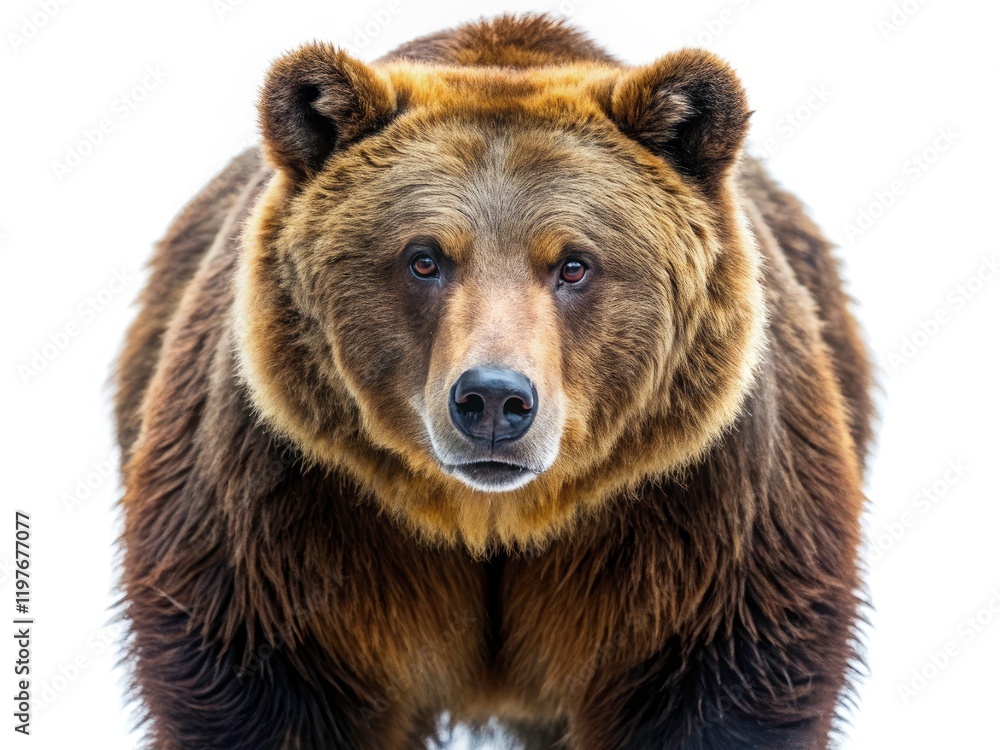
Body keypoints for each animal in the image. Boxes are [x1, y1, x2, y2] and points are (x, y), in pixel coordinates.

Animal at [115, 13, 873, 750]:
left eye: (574, 263)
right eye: (424, 258)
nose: (494, 400)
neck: (490, 520)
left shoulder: (700, 525)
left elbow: (718, 688)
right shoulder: (291, 520)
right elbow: (266, 690)